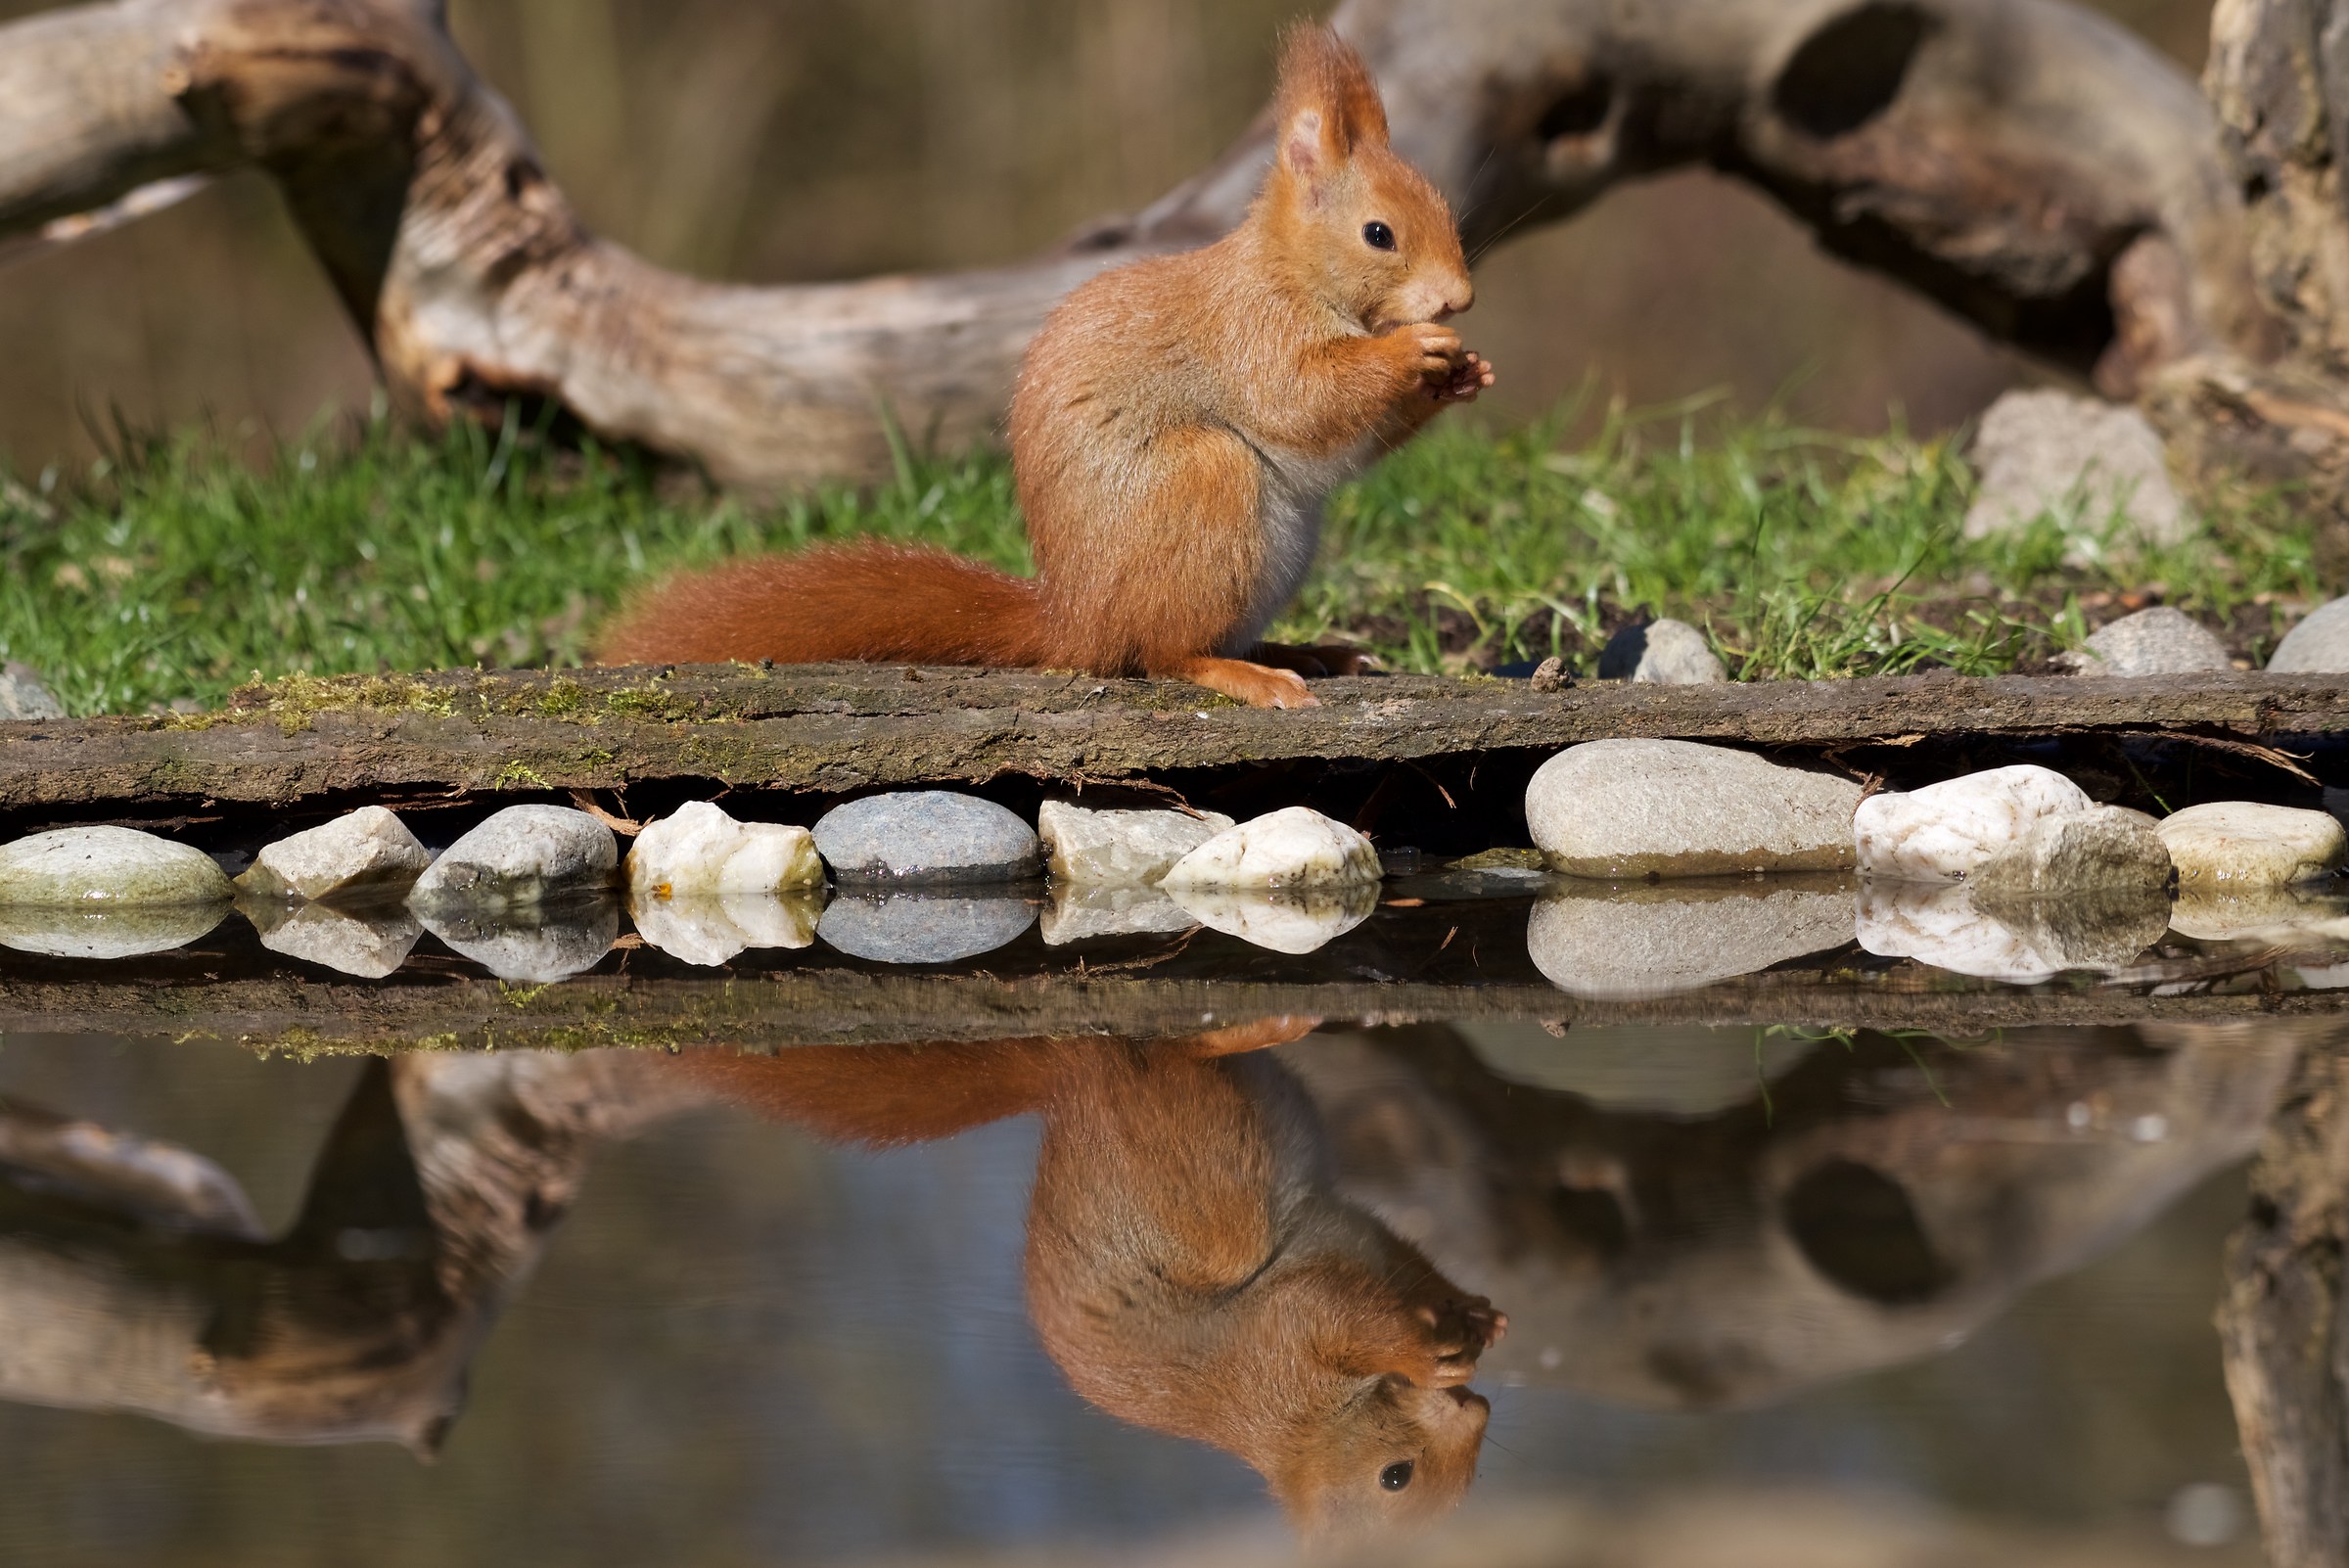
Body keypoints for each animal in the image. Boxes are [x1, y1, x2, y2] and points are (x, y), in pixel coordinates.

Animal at [594, 25, 1492, 709]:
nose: (1460, 298)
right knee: (1159, 651)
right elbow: (1304, 402)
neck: (1292, 273)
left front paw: (1464, 372)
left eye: (1445, 210)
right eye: (1379, 233)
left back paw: (1310, 653)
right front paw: (1413, 352)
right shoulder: (1250, 336)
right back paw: (1248, 673)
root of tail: (1076, 621)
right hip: (1203, 484)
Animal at [668, 1017, 1506, 1540]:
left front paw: (1474, 1316)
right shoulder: (1294, 1332)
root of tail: (1071, 1076)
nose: (1478, 1419)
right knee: (1174, 1050)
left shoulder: (1366, 1240)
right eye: (1395, 1479)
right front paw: (1430, 1355)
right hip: (1200, 1149)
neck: (1307, 1429)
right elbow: (1354, 1317)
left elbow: (1414, 1266)